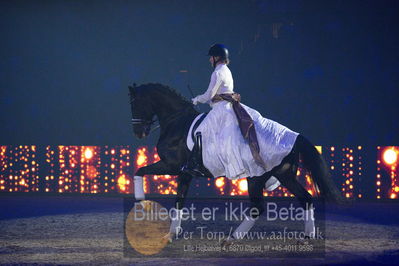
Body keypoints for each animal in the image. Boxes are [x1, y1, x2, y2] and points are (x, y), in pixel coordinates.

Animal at [129, 82, 344, 239]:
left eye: (134, 104)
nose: (138, 133)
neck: (177, 122)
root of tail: (294, 137)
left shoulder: (173, 166)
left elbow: (141, 171)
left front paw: (141, 202)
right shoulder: (185, 172)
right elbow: (179, 199)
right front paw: (174, 230)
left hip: (256, 178)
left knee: (258, 207)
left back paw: (235, 236)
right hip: (285, 176)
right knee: (305, 199)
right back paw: (309, 234)